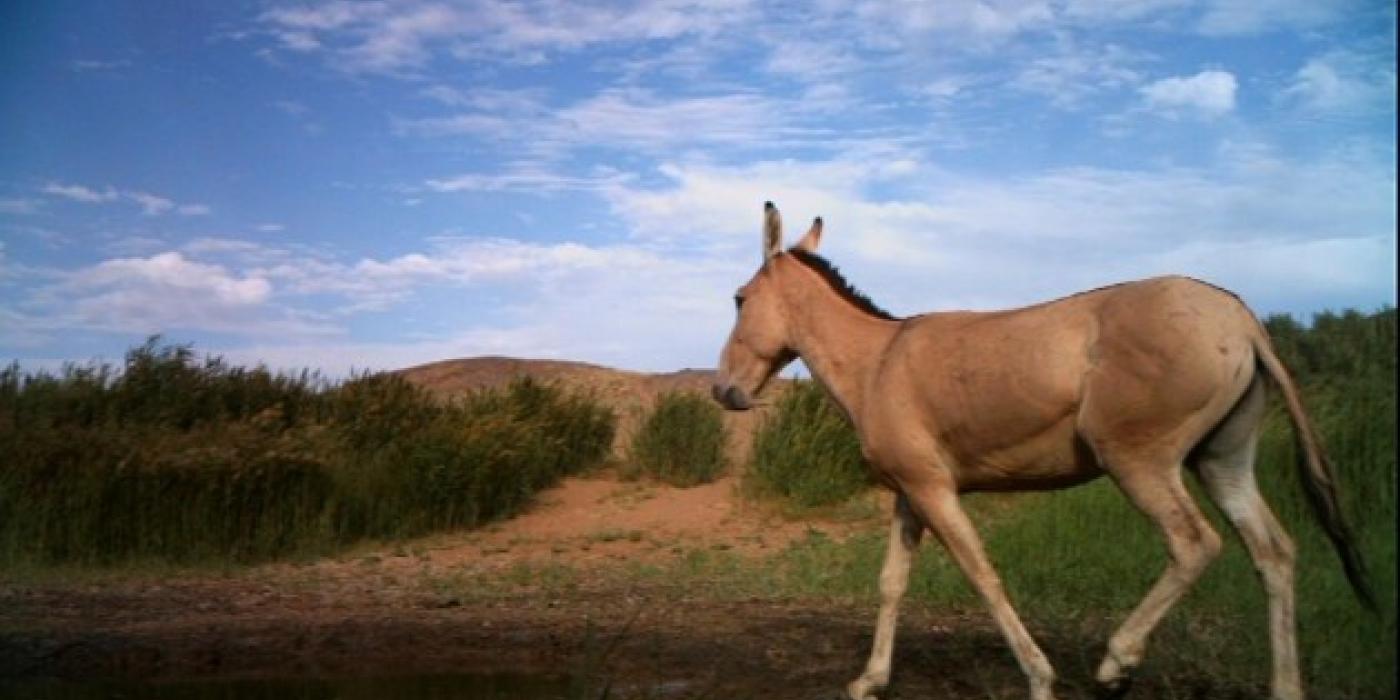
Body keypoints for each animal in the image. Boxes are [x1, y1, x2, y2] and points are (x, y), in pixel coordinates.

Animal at [716, 201, 1372, 700]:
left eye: (739, 299)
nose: (724, 391)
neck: (878, 362)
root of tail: (1241, 319)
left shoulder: (934, 490)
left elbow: (982, 574)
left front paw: (1039, 678)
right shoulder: (910, 493)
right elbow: (891, 583)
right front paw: (868, 682)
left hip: (1141, 463)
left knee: (1195, 543)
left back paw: (1116, 662)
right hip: (1222, 463)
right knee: (1275, 552)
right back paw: (1284, 686)